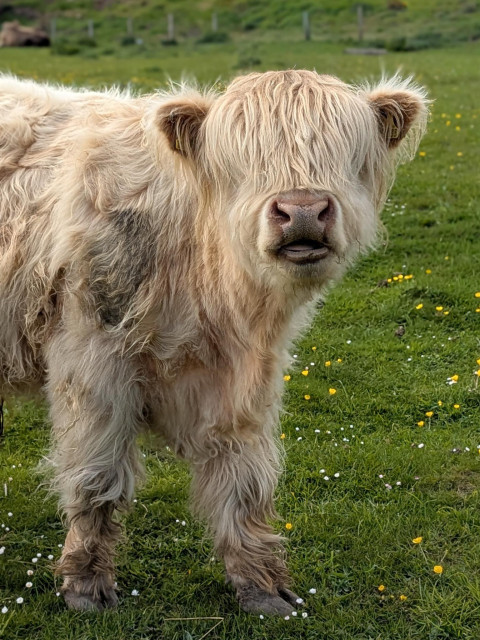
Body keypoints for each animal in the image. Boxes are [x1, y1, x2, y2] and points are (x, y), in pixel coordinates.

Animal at [0, 70, 428, 614]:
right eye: (240, 161)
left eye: (345, 153)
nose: (302, 211)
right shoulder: (92, 361)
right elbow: (97, 476)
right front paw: (85, 585)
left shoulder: (246, 383)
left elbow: (244, 482)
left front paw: (261, 587)